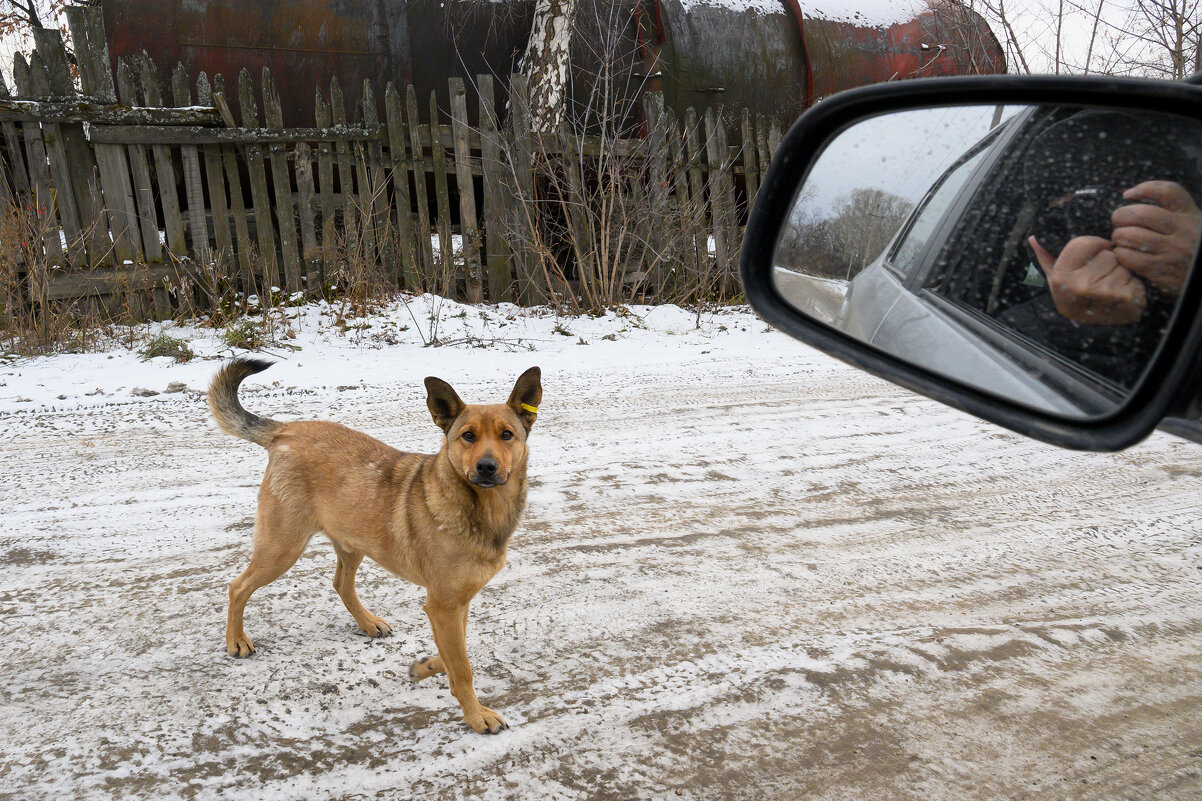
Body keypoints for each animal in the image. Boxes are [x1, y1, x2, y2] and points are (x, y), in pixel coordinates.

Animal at [210, 358, 540, 731]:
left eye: (507, 435)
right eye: (467, 436)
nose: (486, 467)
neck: (481, 507)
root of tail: (286, 430)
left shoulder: (455, 603)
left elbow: (454, 655)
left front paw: (425, 667)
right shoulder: (443, 605)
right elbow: (463, 668)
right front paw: (476, 716)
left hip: (352, 541)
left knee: (340, 583)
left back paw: (368, 623)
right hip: (282, 547)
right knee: (238, 586)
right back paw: (236, 640)